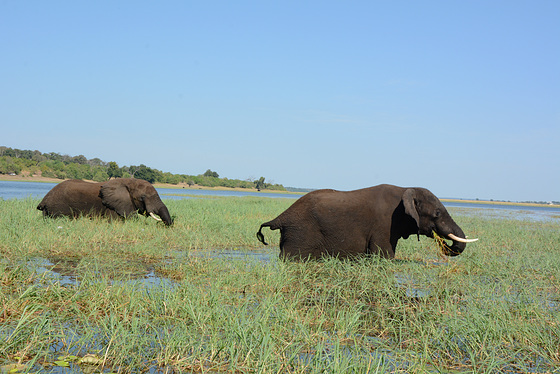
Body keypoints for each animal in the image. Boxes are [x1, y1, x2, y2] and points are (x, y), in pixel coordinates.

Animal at [258, 184, 476, 260]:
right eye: (437, 213)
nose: (445, 243)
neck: (406, 188)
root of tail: (281, 217)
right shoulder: (384, 224)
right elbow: (384, 256)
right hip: (300, 232)